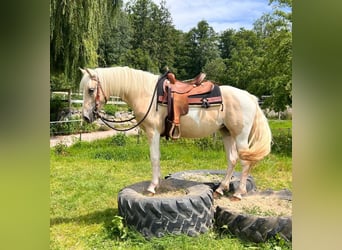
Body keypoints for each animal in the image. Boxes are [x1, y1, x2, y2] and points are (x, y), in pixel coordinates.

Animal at [80, 66, 272, 199]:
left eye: (91, 90)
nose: (86, 117)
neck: (146, 93)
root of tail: (251, 98)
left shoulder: (153, 132)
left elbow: (154, 158)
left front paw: (152, 187)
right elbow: (157, 158)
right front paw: (157, 184)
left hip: (240, 136)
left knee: (245, 162)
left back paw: (238, 193)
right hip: (227, 133)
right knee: (232, 160)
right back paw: (220, 189)